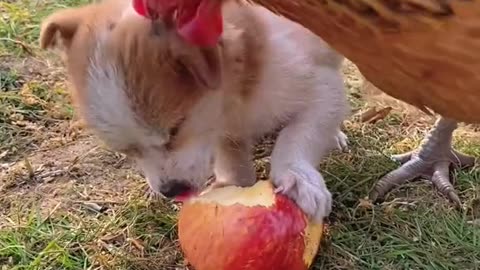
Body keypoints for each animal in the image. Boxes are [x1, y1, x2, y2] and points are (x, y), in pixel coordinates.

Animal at [39, 0, 348, 220]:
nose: (171, 191)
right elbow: (231, 155)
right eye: (128, 151)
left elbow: (296, 136)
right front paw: (234, 183)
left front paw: (297, 177)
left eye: (175, 129)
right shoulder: (223, 128)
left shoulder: (324, 88)